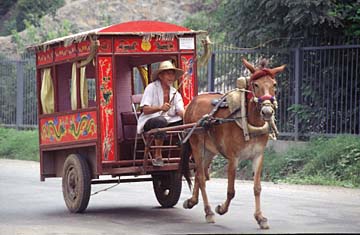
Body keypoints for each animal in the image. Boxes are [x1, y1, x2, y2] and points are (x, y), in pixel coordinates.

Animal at [181, 57, 286, 229]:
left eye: (274, 84)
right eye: (255, 85)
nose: (267, 111)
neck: (249, 123)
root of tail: (192, 102)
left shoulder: (258, 156)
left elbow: (257, 188)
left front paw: (260, 218)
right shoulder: (233, 158)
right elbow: (231, 191)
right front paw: (221, 209)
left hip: (209, 151)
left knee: (198, 173)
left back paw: (192, 201)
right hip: (196, 146)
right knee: (202, 178)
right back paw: (208, 211)